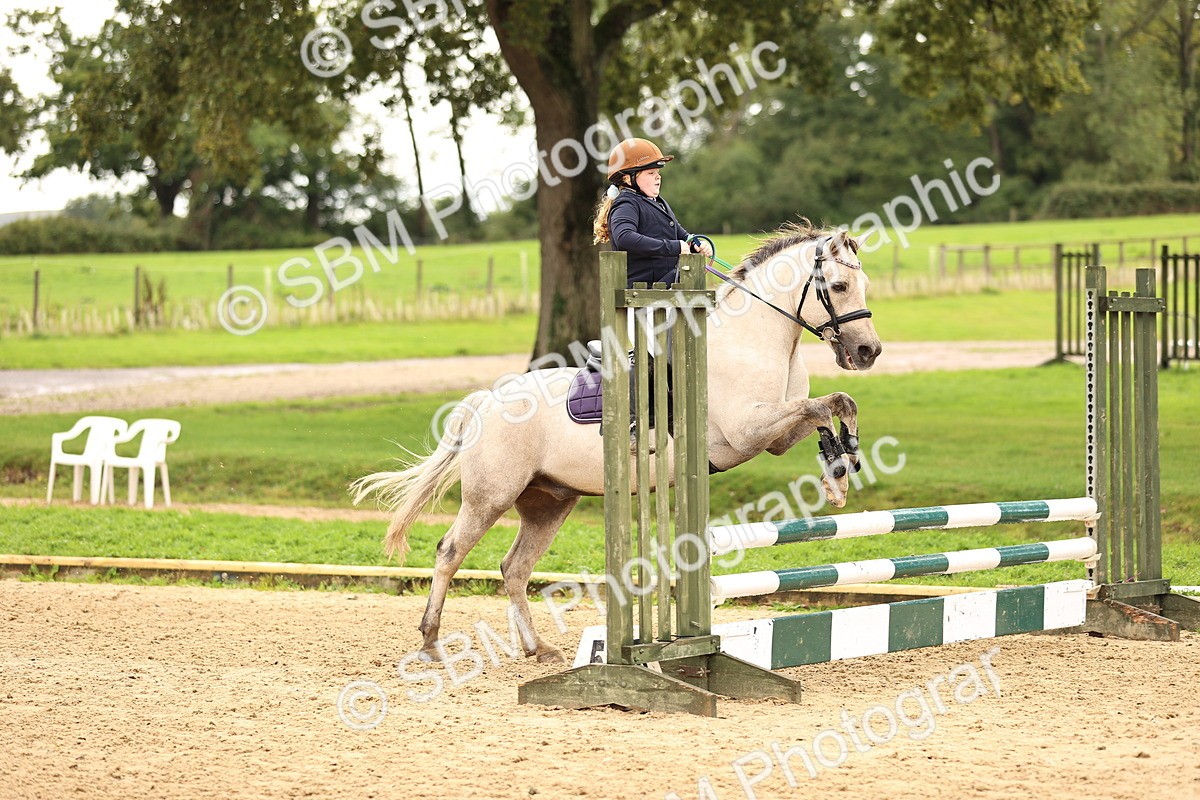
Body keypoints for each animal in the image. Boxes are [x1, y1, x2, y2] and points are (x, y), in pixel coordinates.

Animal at [350, 221, 883, 663]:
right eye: (838, 287)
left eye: (863, 286)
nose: (868, 351)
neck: (751, 343)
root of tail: (488, 401)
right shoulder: (747, 430)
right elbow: (821, 406)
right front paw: (839, 475)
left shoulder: (774, 435)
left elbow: (835, 404)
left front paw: (842, 463)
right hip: (490, 497)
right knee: (449, 552)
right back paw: (430, 642)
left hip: (548, 503)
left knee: (514, 568)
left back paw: (537, 648)